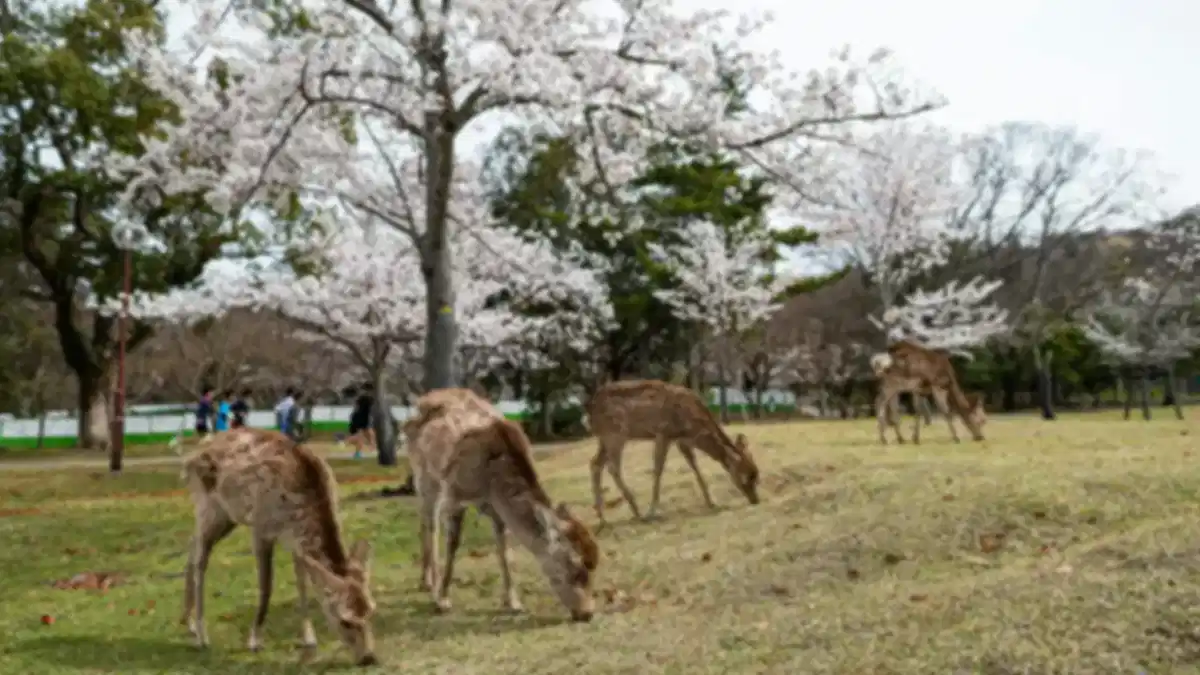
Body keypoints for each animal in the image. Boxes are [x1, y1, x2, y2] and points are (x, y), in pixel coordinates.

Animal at [178, 429, 378, 666]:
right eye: (345, 621)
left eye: (370, 611)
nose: (368, 657)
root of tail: (189, 460)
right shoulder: (261, 527)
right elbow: (267, 587)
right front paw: (254, 640)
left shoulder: (296, 542)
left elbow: (302, 583)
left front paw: (309, 638)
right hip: (209, 506)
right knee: (200, 558)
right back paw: (202, 635)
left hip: (227, 516)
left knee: (192, 546)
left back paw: (187, 622)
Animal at [404, 388, 600, 622]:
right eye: (575, 570)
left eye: (595, 567)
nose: (587, 613)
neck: (491, 482)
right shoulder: (455, 493)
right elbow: (453, 544)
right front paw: (443, 600)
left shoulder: (497, 508)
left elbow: (503, 549)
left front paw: (513, 602)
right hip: (424, 476)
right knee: (430, 523)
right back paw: (431, 583)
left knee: (424, 520)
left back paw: (425, 580)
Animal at [584, 379, 760, 526]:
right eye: (746, 477)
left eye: (757, 475)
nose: (755, 500)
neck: (692, 426)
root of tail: (590, 413)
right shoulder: (664, 432)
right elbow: (658, 469)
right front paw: (652, 512)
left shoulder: (680, 439)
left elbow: (693, 464)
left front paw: (712, 501)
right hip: (615, 434)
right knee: (612, 467)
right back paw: (637, 512)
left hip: (605, 438)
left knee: (595, 463)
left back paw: (602, 518)